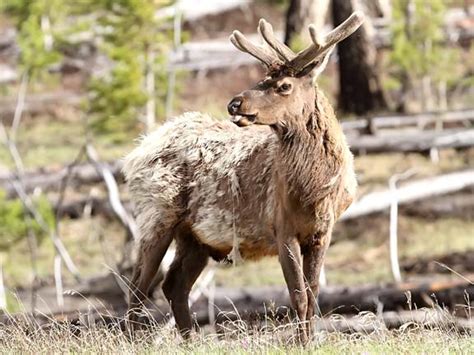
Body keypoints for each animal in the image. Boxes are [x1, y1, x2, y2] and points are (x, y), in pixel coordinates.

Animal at [123, 11, 362, 344]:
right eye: (261, 79)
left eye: (284, 85)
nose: (234, 103)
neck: (314, 190)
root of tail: (135, 154)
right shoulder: (281, 227)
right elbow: (298, 295)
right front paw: (300, 343)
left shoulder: (321, 232)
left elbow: (313, 293)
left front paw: (309, 340)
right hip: (155, 216)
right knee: (137, 287)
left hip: (195, 237)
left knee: (174, 285)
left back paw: (191, 341)